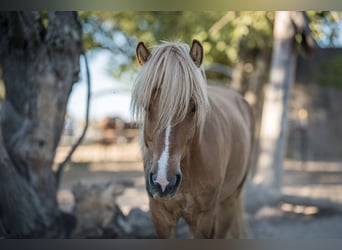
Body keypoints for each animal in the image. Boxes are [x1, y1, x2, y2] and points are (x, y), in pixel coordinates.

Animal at [131, 39, 254, 238]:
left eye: (194, 107)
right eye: (146, 106)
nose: (163, 181)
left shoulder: (203, 218)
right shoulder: (160, 216)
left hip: (228, 202)